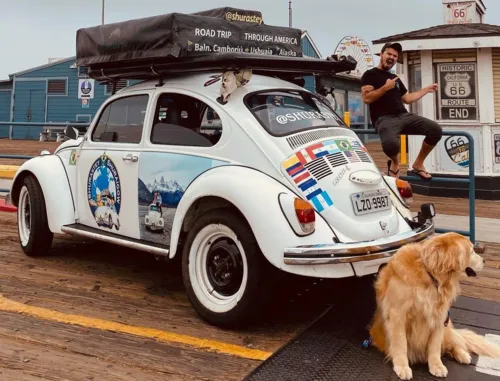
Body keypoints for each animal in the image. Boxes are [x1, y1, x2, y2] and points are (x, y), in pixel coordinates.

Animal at [368, 230, 500, 378]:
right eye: (471, 251)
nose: (484, 260)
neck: (429, 275)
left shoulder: (440, 316)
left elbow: (435, 346)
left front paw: (436, 365)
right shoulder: (397, 316)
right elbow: (400, 344)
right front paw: (402, 367)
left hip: (447, 327)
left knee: (454, 343)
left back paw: (463, 355)